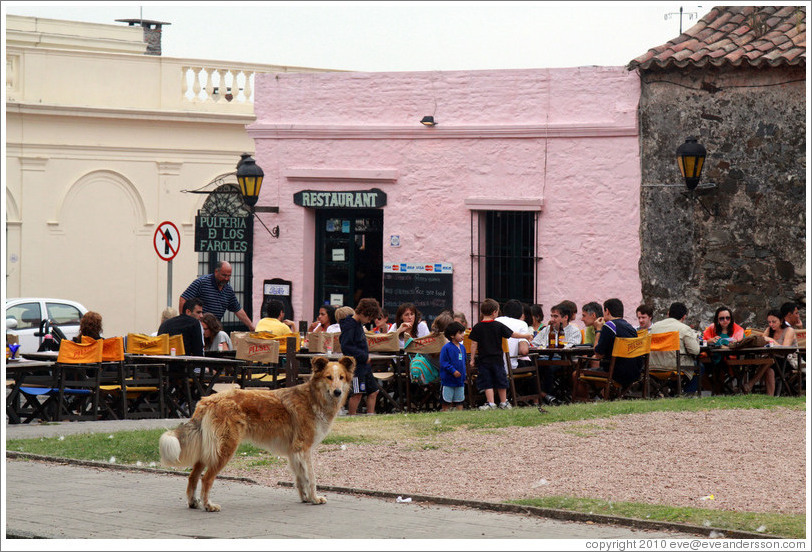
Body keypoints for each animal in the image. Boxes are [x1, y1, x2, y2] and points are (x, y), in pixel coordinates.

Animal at [160, 356, 354, 512]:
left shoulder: (294, 452)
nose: (337, 392)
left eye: (341, 378)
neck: (313, 397)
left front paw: (305, 498)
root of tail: (208, 400)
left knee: (193, 476)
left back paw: (193, 502)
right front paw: (314, 498)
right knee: (206, 478)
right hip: (224, 449)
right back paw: (209, 505)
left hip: (208, 448)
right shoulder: (304, 449)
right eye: (329, 377)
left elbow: (300, 478)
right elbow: (311, 477)